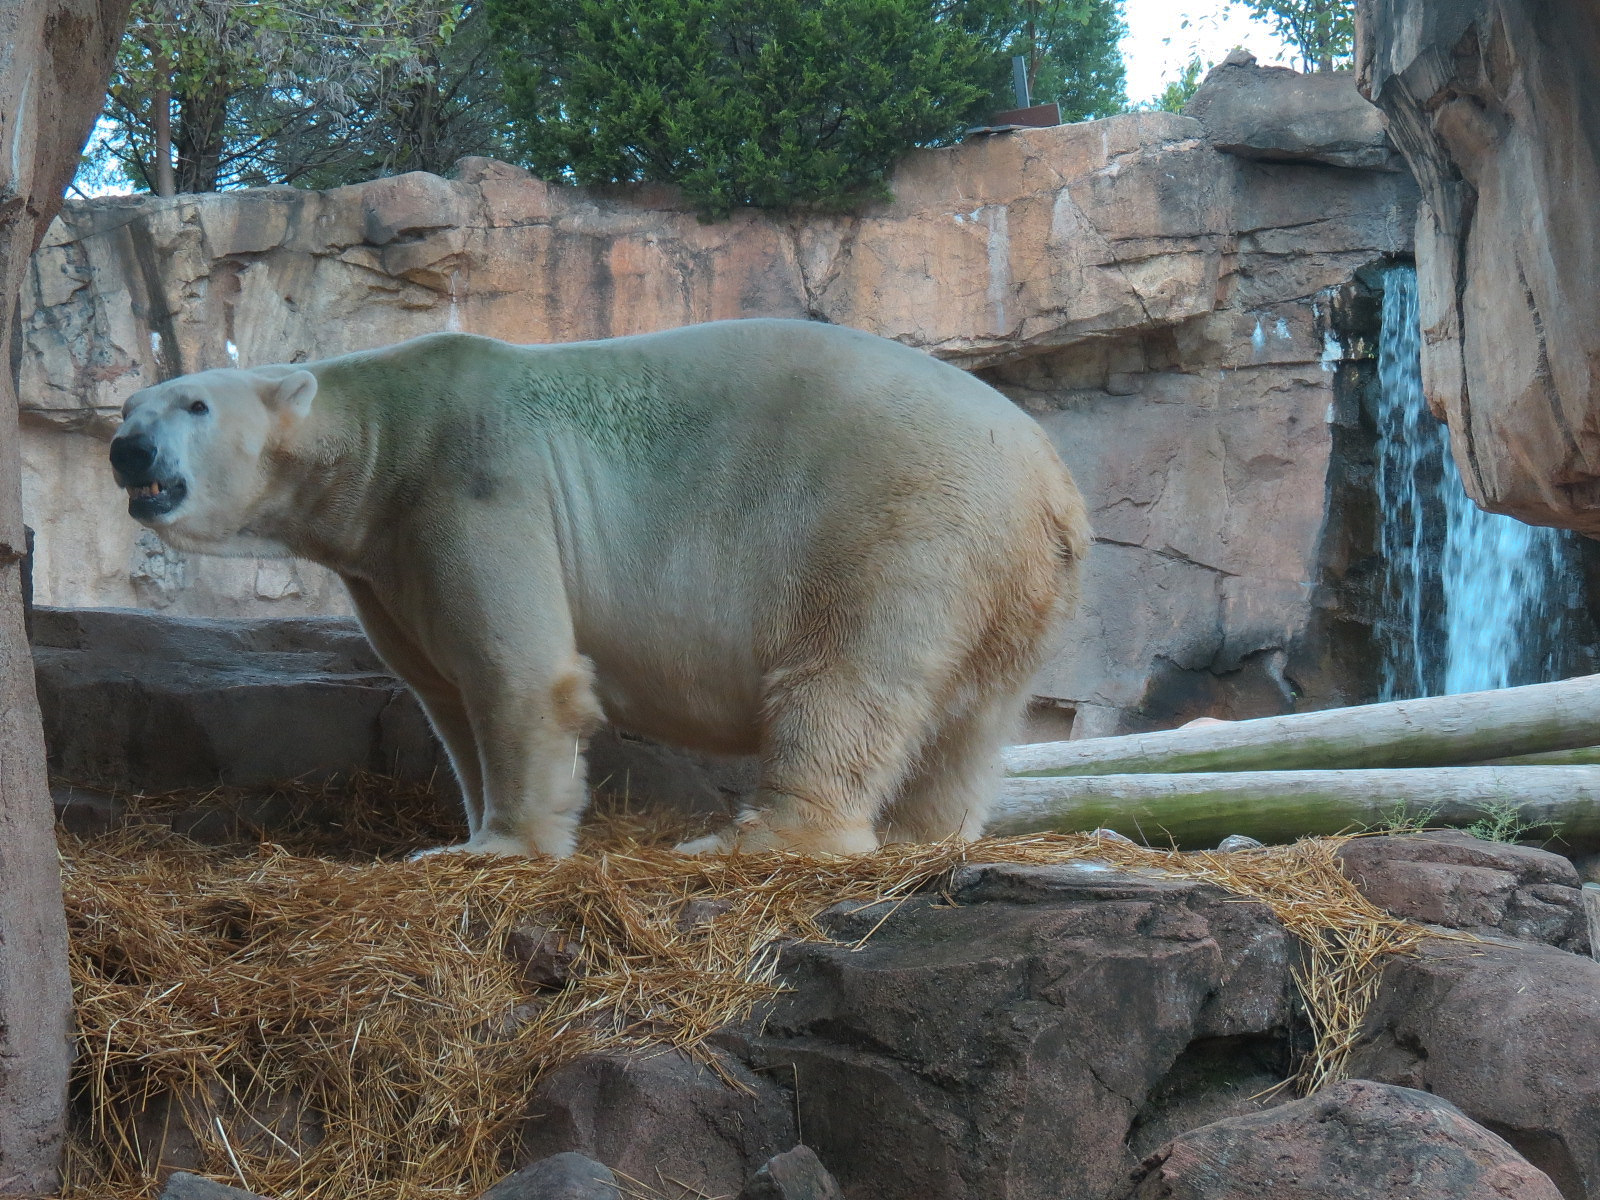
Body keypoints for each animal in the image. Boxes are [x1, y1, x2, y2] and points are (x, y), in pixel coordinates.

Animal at [108, 319, 1089, 857]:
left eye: (194, 404)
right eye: (128, 407)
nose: (126, 450)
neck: (382, 442)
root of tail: (1053, 482)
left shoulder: (475, 483)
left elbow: (519, 676)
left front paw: (492, 851)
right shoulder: (383, 562)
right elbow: (445, 694)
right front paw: (470, 829)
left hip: (902, 519)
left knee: (847, 679)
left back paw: (750, 837)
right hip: (1014, 582)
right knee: (973, 721)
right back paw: (928, 837)